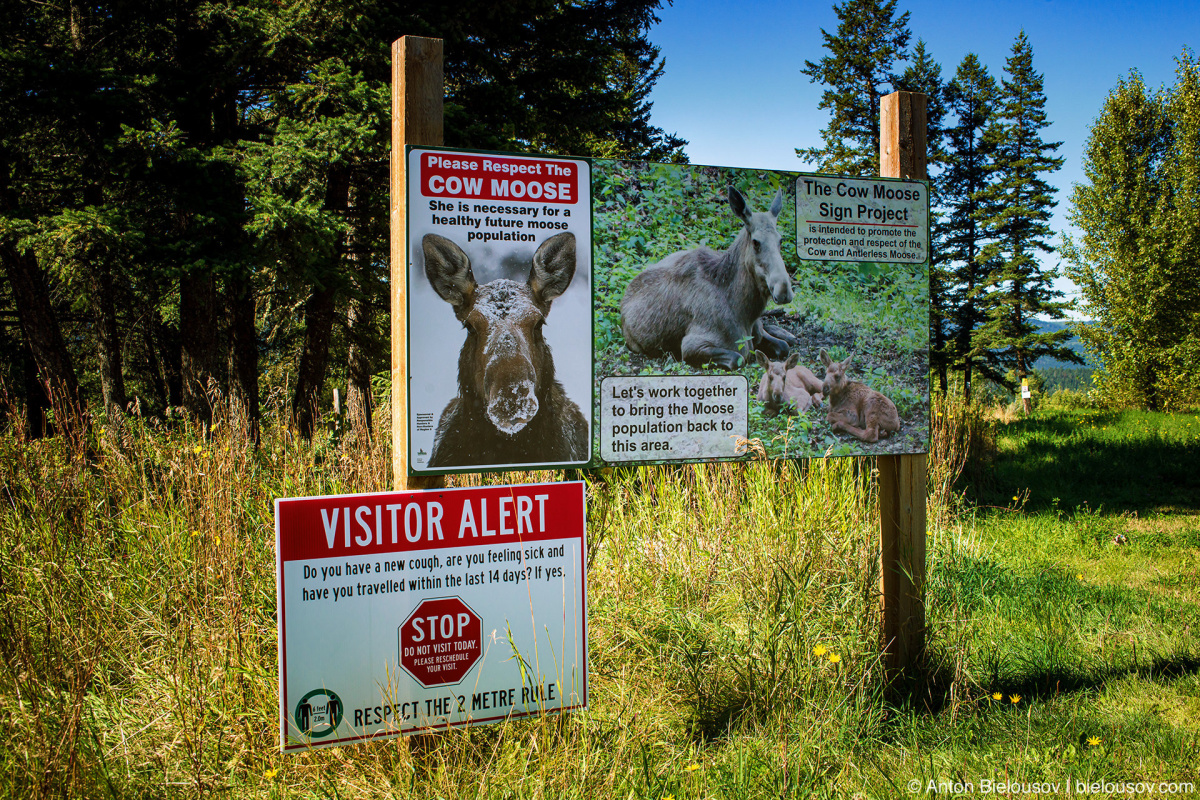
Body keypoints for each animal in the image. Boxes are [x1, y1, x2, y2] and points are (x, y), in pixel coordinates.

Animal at [624, 185, 801, 371]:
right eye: (755, 242)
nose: (783, 290)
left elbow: (783, 347)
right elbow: (738, 357)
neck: (746, 311)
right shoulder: (691, 345)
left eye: (780, 240)